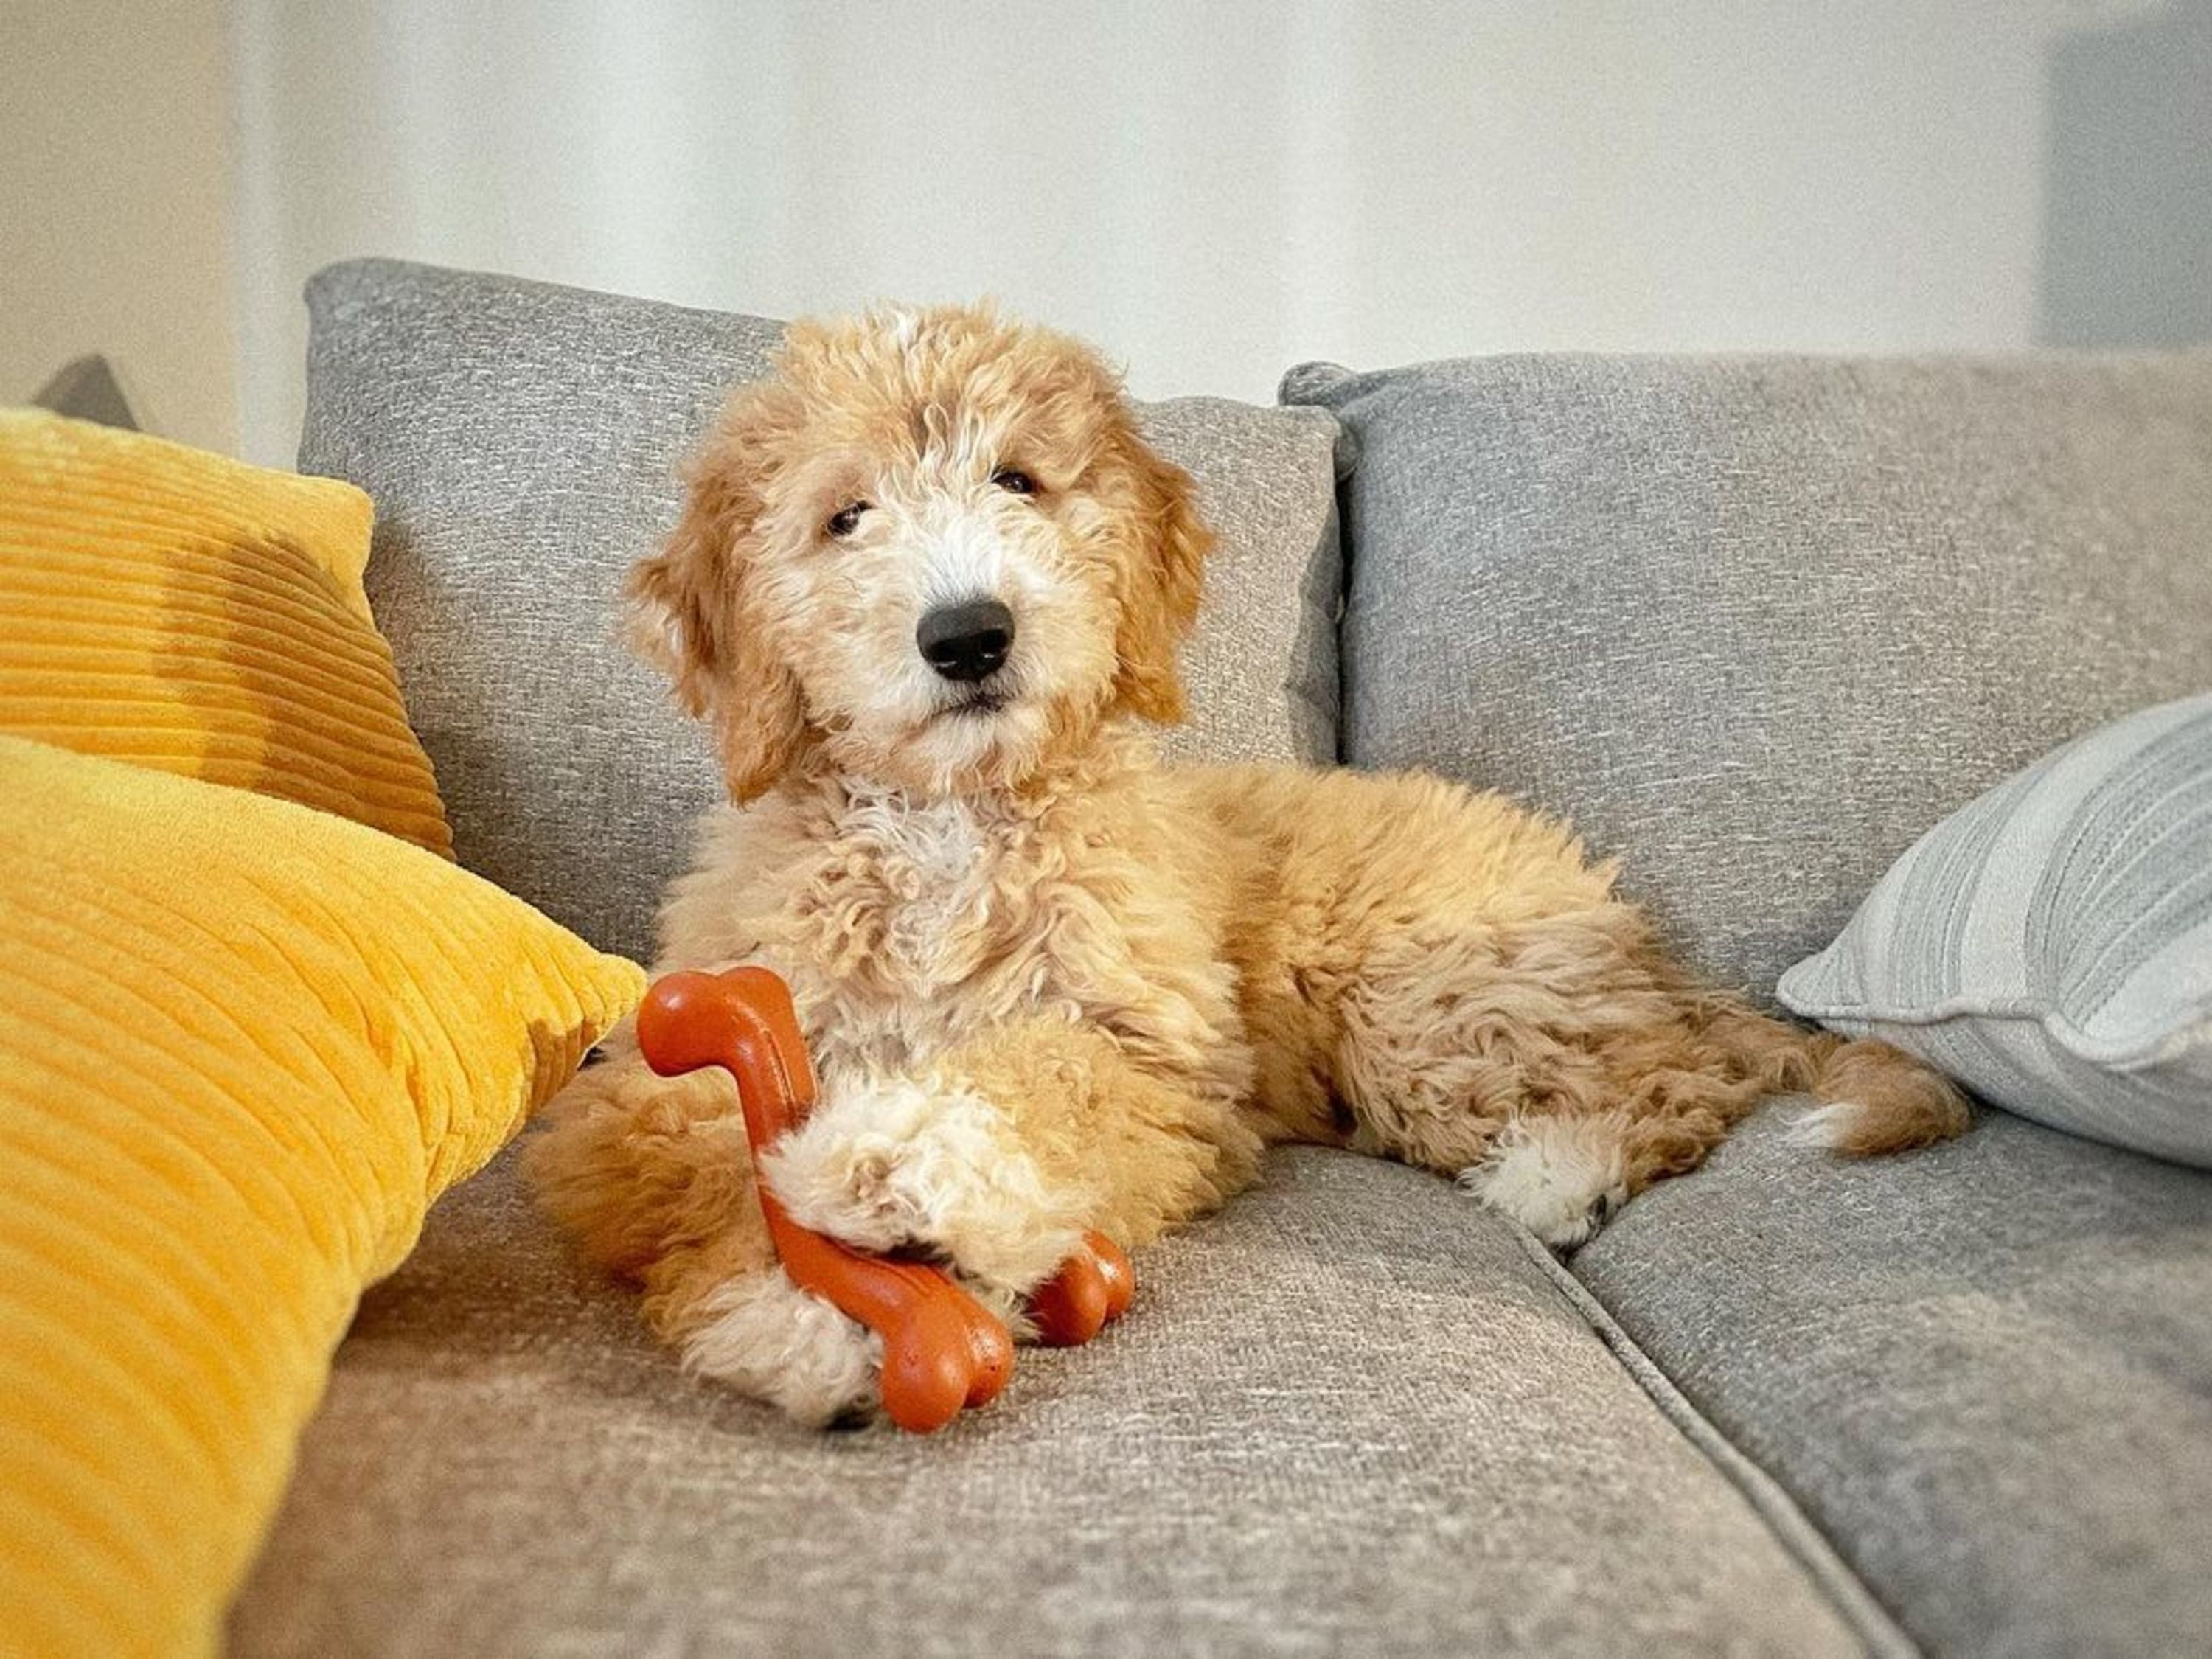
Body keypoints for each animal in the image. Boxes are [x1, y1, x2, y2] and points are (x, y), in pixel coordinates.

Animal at [526, 303, 1969, 1425]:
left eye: (1019, 482)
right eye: (844, 518)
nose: (970, 634)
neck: (951, 821)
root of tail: (1637, 941)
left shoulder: (1167, 1064)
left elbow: (1050, 1074)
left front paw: (909, 1159)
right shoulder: (655, 1063)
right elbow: (694, 1155)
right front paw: (808, 1304)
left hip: (1430, 1008)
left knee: (1681, 1083)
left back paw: (1557, 1172)